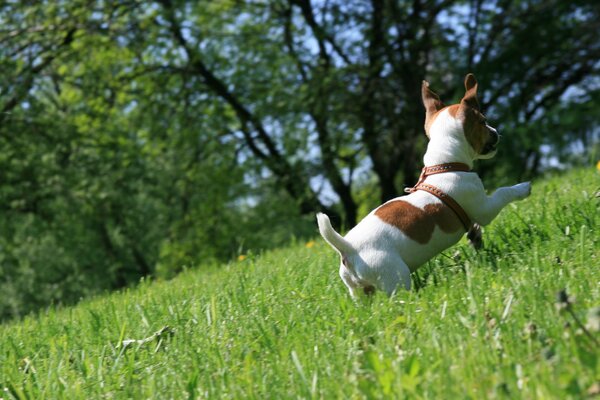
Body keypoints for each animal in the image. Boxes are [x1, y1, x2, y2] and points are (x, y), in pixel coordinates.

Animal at [316, 73, 532, 296]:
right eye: (484, 121)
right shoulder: (484, 208)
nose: (495, 131)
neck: (444, 165)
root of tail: (349, 249)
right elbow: (502, 193)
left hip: (359, 291)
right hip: (395, 277)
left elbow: (475, 228)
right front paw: (522, 188)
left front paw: (476, 238)